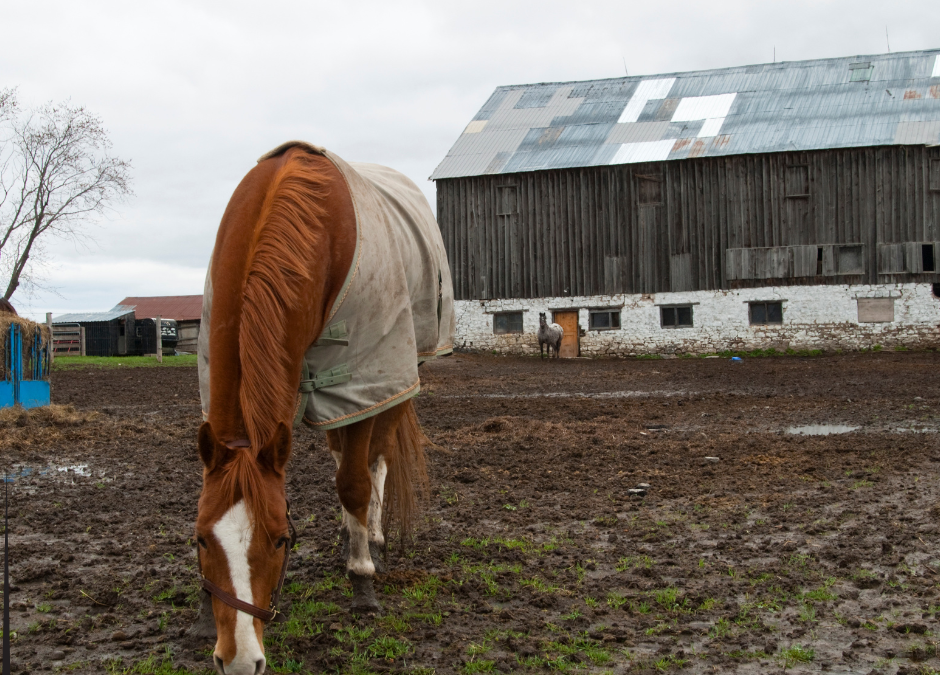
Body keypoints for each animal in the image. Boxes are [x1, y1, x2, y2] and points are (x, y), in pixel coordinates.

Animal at [194, 143, 452, 675]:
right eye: (201, 539)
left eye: (280, 539)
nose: (239, 660)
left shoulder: (362, 379)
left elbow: (354, 482)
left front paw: (363, 581)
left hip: (394, 381)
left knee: (376, 461)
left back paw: (371, 539)